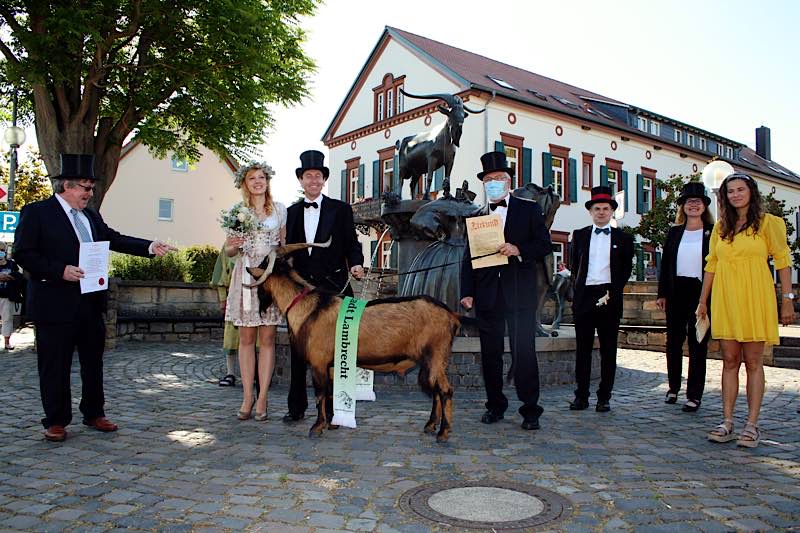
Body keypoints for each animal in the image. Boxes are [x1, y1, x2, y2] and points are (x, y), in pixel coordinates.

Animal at [247, 243, 460, 442]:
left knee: (445, 390)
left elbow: (320, 394)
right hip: (433, 362)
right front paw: (332, 423)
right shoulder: (331, 365)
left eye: (262, 266)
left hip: (435, 355)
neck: (310, 307)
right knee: (435, 390)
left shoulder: (318, 362)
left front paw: (317, 427)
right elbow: (330, 393)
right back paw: (430, 426)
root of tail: (452, 316)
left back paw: (443, 433)